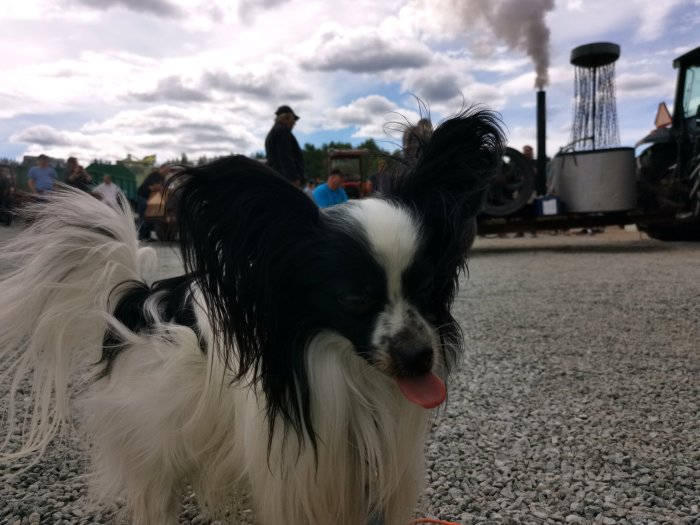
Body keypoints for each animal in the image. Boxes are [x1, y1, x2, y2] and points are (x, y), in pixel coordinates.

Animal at [0, 111, 504, 524]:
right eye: (354, 297)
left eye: (426, 287)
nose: (420, 357)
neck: (349, 375)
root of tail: (137, 295)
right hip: (156, 429)